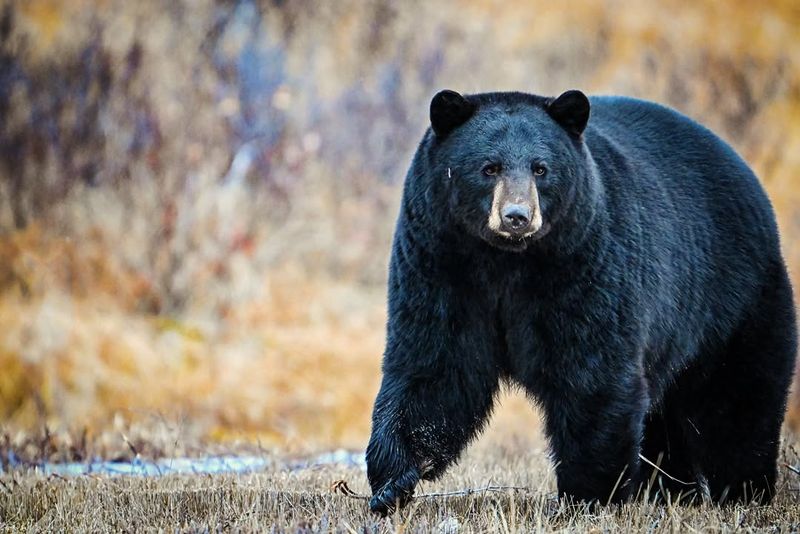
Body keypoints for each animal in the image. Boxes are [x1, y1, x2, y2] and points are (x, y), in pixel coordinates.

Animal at [365, 88, 798, 516]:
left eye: (541, 168)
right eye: (489, 168)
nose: (517, 216)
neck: (506, 261)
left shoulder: (585, 263)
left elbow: (591, 371)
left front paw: (588, 495)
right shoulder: (441, 262)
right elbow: (436, 367)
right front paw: (391, 483)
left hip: (732, 299)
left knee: (739, 401)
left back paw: (744, 492)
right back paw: (670, 491)